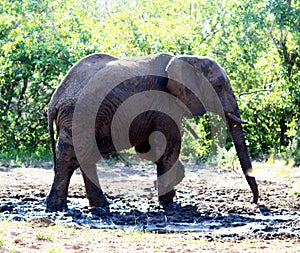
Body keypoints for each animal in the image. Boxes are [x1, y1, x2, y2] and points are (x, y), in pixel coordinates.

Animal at [45, 52, 258, 211]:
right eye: (219, 86)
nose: (253, 201)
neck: (188, 59)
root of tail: (54, 101)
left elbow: (148, 148)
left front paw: (171, 187)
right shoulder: (165, 102)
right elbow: (170, 144)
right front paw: (168, 203)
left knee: (85, 158)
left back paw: (100, 206)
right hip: (78, 115)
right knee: (70, 158)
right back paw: (57, 207)